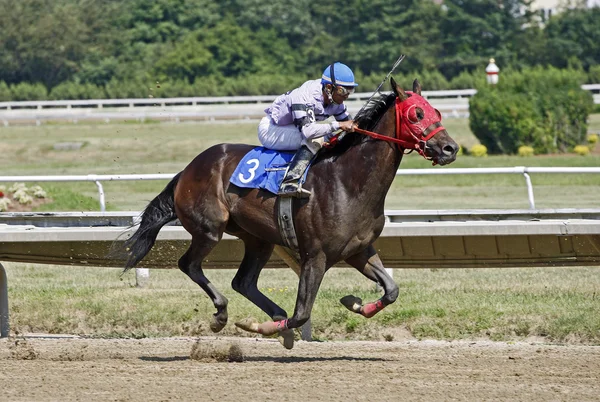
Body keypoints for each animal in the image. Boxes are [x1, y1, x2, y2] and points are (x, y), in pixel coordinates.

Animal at [120, 77, 460, 348]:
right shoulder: (315, 256)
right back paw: (223, 314)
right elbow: (301, 314)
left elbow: (391, 290)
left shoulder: (359, 249)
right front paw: (261, 327)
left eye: (437, 112)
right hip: (209, 229)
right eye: (417, 113)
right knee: (189, 265)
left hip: (258, 238)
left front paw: (354, 303)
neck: (349, 181)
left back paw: (268, 314)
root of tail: (188, 169)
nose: (450, 148)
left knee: (243, 282)